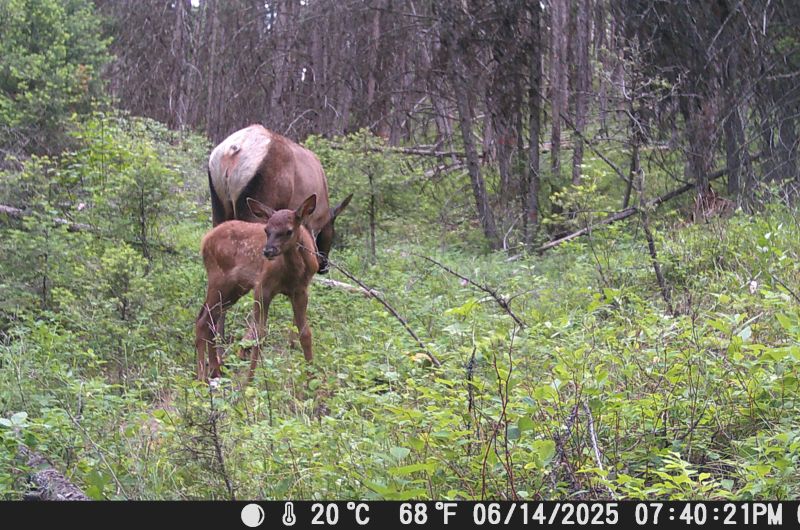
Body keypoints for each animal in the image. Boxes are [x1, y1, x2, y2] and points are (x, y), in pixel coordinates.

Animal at [195, 193, 344, 383]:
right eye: (266, 230)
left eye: (289, 231)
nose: (267, 251)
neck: (292, 272)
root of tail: (205, 240)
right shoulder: (262, 287)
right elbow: (259, 334)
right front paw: (249, 381)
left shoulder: (301, 291)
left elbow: (305, 333)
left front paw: (311, 379)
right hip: (218, 280)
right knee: (202, 319)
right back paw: (202, 377)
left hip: (235, 289)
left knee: (210, 319)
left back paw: (215, 372)